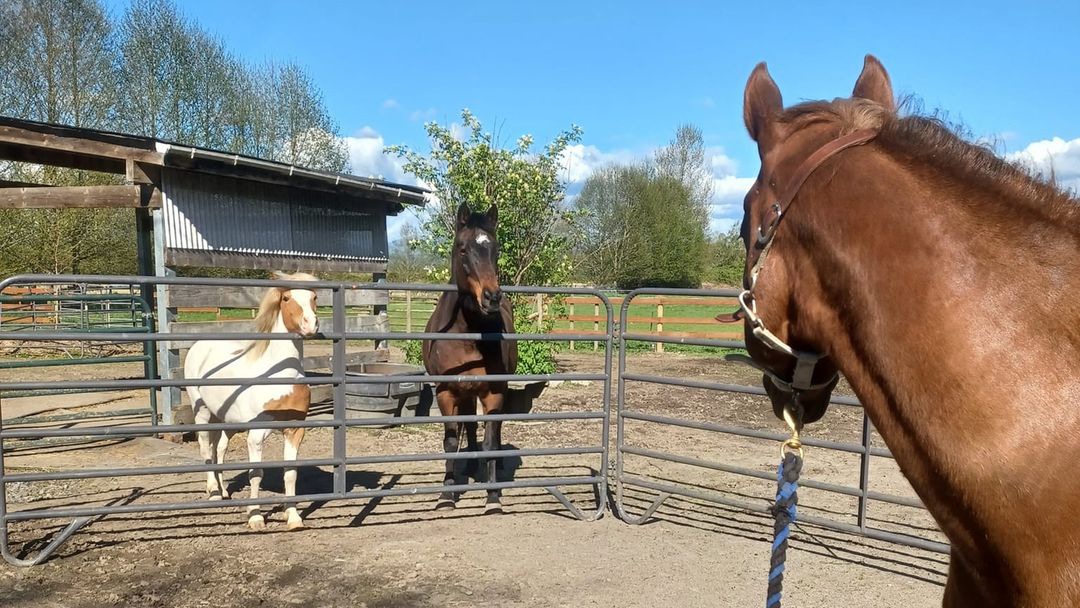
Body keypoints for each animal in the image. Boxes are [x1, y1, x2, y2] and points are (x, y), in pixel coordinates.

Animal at [421, 203, 518, 514]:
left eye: (495, 249)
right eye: (462, 249)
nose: (492, 297)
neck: (466, 334)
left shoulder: (494, 392)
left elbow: (490, 442)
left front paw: (493, 498)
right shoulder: (446, 393)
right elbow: (451, 442)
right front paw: (447, 495)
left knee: (491, 432)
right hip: (464, 393)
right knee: (470, 427)